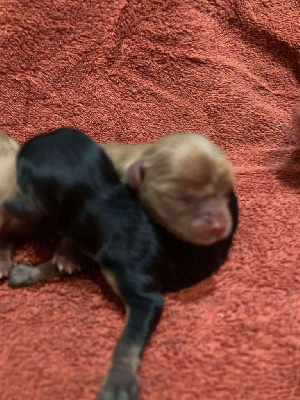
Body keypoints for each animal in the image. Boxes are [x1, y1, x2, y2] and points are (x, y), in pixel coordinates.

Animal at [5, 128, 164, 400]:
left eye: (19, 168)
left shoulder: (146, 298)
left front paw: (118, 380)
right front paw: (29, 273)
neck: (101, 200)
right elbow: (59, 262)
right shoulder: (87, 247)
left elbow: (129, 339)